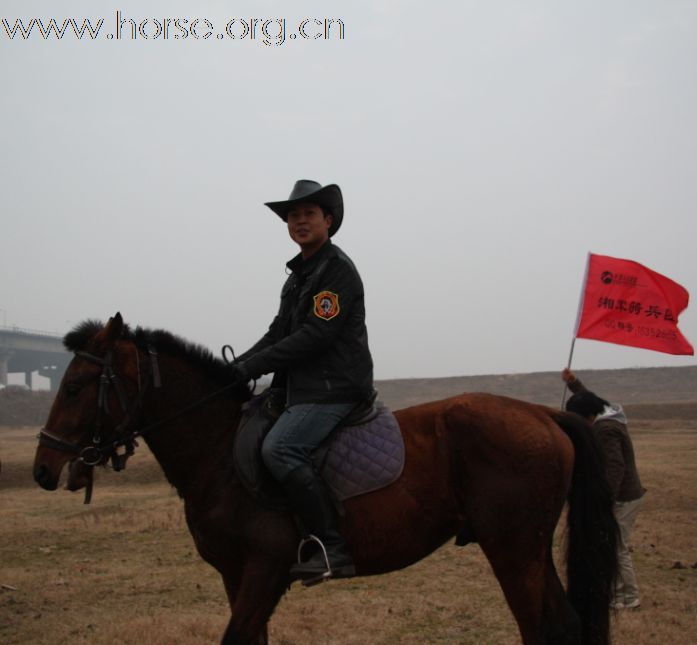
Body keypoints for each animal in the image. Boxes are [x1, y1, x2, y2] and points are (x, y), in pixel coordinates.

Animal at [35, 316, 616, 644]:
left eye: (76, 384)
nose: (44, 468)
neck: (220, 452)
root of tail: (542, 415)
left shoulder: (264, 571)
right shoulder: (236, 576)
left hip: (512, 551)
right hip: (530, 551)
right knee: (567, 627)